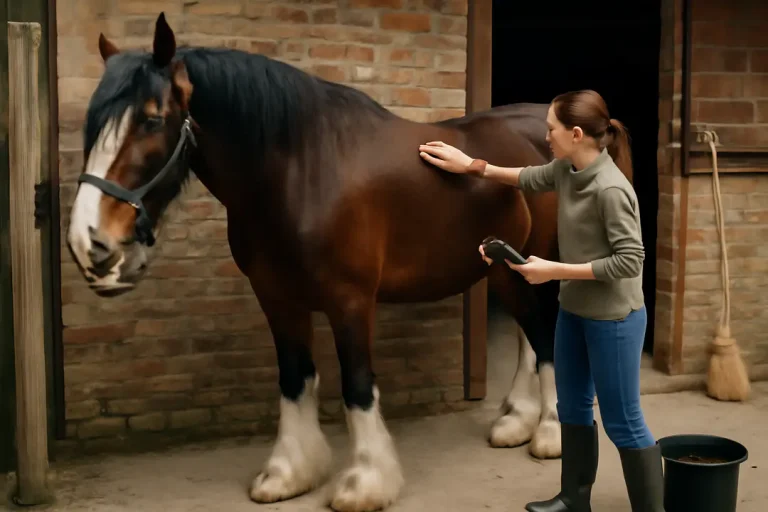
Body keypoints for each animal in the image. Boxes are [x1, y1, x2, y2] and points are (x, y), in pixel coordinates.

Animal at [66, 13, 564, 512]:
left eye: (151, 119)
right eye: (93, 125)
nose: (89, 242)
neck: (300, 172)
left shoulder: (351, 300)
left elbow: (357, 386)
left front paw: (364, 482)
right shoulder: (276, 296)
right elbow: (295, 378)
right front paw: (288, 472)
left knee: (547, 335)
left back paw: (550, 433)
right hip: (505, 270)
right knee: (530, 335)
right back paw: (516, 421)